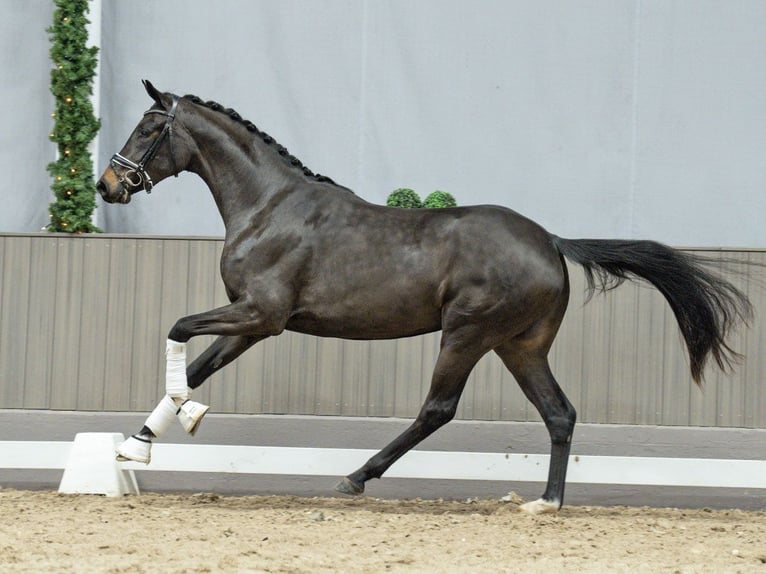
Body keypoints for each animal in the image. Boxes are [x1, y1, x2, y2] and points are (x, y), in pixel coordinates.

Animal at [97, 80, 756, 512]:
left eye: (150, 127)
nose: (109, 184)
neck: (268, 207)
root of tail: (549, 241)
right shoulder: (255, 324)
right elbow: (199, 366)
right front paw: (137, 444)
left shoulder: (261, 313)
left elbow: (179, 330)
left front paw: (179, 420)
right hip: (521, 345)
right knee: (559, 413)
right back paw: (546, 502)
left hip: (467, 333)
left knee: (438, 409)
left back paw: (356, 478)